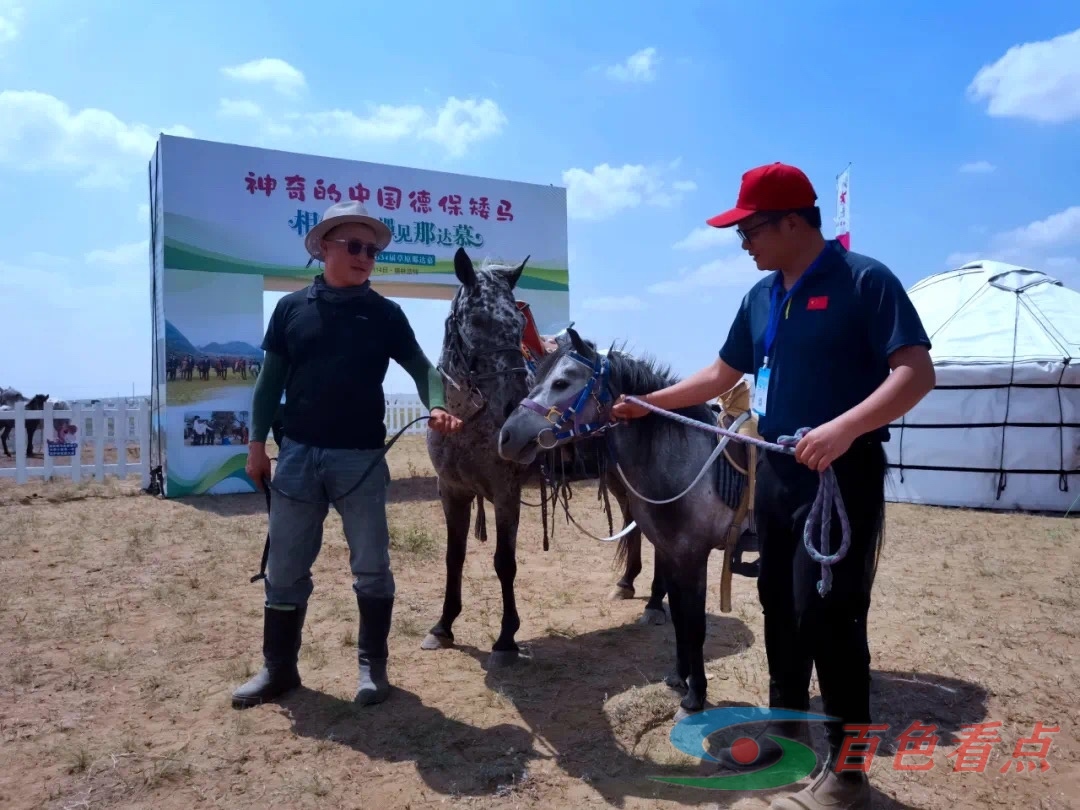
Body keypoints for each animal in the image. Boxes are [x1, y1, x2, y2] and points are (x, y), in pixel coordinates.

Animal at [496, 330, 751, 721]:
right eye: (533, 379)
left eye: (562, 382)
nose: (506, 437)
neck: (688, 461)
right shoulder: (671, 554)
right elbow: (680, 619)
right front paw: (677, 679)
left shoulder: (693, 557)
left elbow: (695, 626)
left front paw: (694, 699)